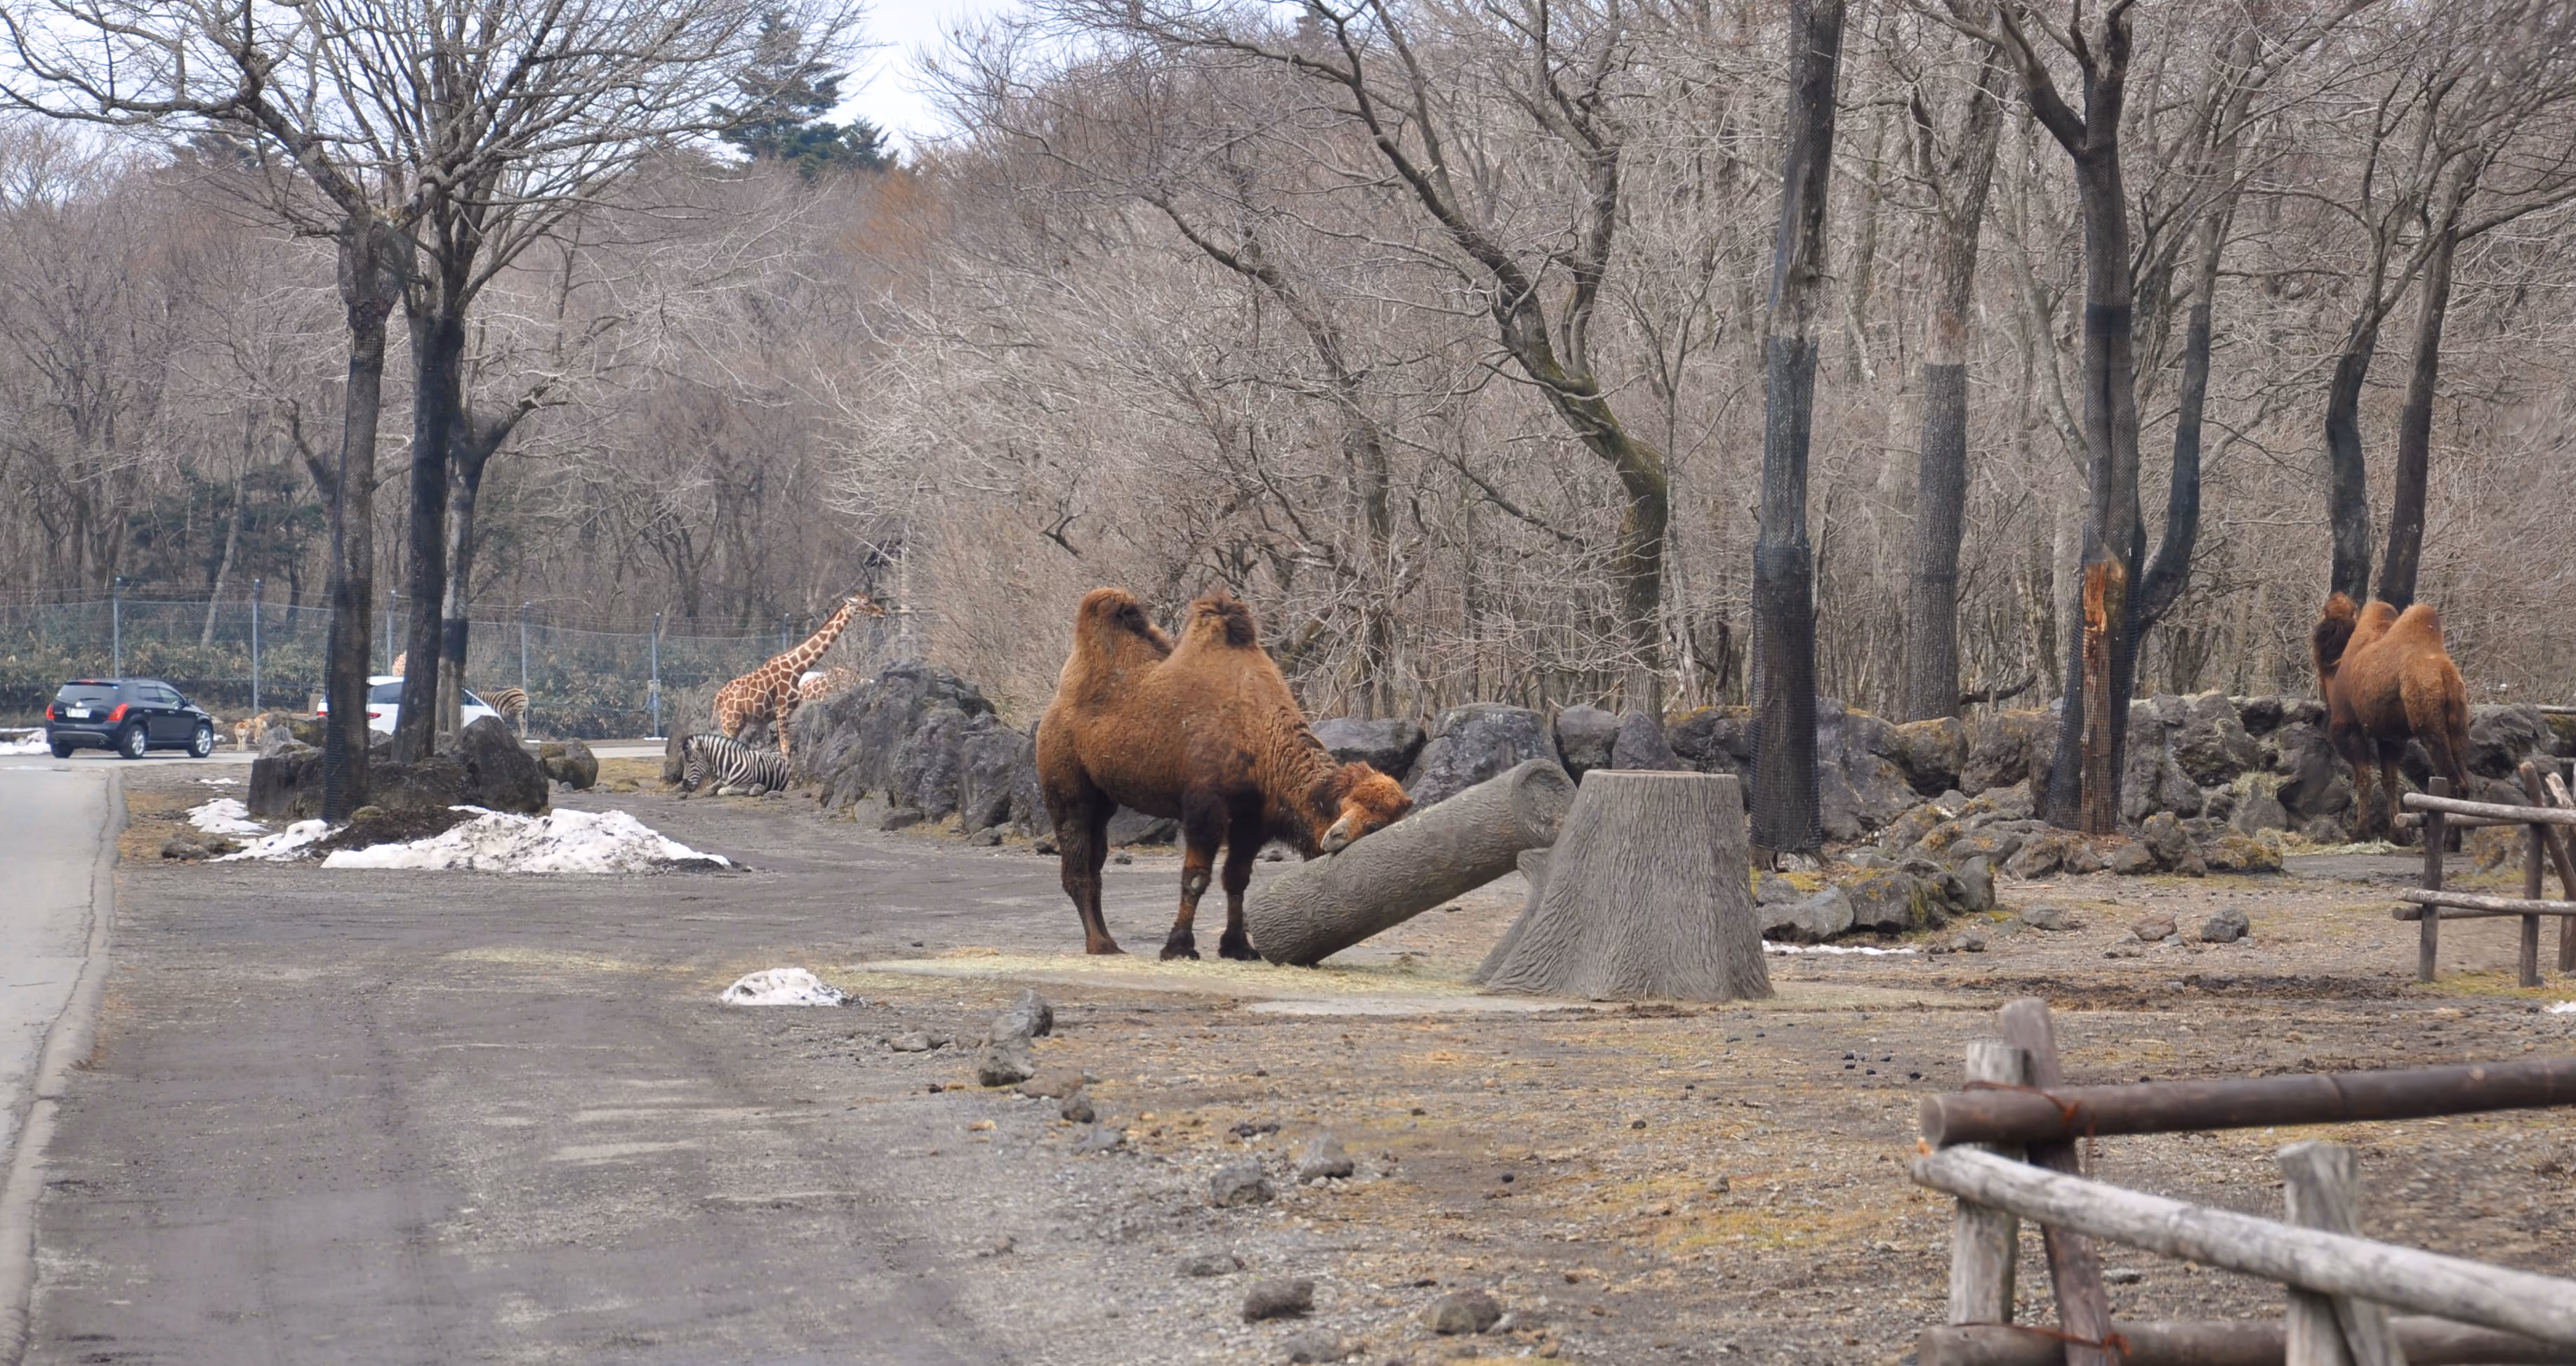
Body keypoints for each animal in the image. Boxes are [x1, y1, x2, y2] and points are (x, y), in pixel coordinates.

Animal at [677, 733, 792, 798]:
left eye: (693, 761)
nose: (685, 786)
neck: (727, 767)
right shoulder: (721, 780)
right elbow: (711, 788)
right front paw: (708, 791)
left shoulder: (746, 787)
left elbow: (723, 790)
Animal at [712, 594, 885, 760]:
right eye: (866, 602)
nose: (882, 612)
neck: (797, 668)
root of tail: (718, 698)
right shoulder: (782, 710)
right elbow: (786, 750)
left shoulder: (781, 714)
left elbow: (783, 749)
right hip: (732, 722)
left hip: (738, 723)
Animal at [1036, 588, 1415, 960]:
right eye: (1373, 825)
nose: (1336, 839)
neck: (1257, 731)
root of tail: (1053, 711)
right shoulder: (1206, 807)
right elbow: (1196, 878)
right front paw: (1179, 947)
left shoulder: (1253, 817)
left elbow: (1237, 877)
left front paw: (1238, 946)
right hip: (1067, 789)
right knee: (1077, 866)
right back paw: (1099, 945)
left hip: (1104, 800)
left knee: (1095, 863)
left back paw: (1109, 941)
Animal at [2313, 592, 2472, 842]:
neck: (2336, 670)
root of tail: (2444, 674)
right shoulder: (2391, 738)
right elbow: (2390, 780)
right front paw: (2398, 834)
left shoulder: (2347, 728)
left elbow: (2364, 777)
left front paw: (2360, 832)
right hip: (2459, 721)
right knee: (2464, 781)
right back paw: (2453, 841)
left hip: (2428, 725)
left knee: (2453, 782)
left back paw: (2447, 842)